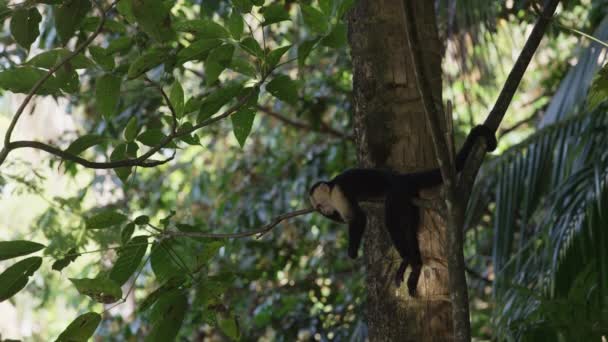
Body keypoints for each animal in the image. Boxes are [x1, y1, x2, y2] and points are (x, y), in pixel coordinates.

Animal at [306, 124, 496, 296]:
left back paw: (406, 259)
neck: (331, 187)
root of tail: (403, 178)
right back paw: (416, 265)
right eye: (318, 208)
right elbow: (346, 218)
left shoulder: (338, 193)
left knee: (392, 223)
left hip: (398, 193)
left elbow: (358, 217)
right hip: (410, 200)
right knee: (410, 229)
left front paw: (352, 252)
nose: (322, 210)